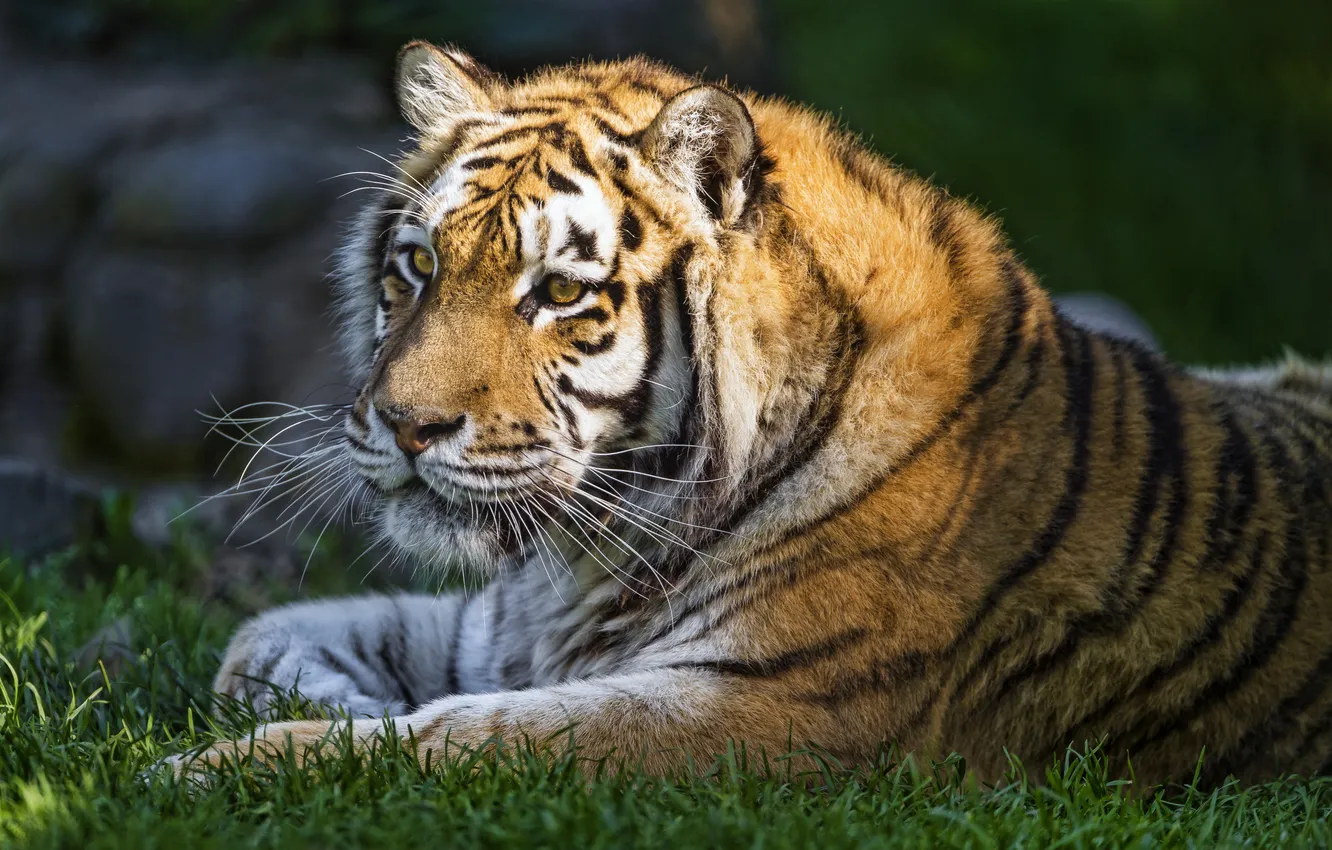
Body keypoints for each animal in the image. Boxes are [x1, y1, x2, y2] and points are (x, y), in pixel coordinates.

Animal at [185, 42, 1332, 789]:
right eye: (419, 266)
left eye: (557, 292)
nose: (404, 426)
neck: (580, 559)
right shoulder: (497, 632)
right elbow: (261, 638)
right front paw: (342, 709)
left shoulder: (775, 709)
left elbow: (472, 739)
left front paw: (213, 769)